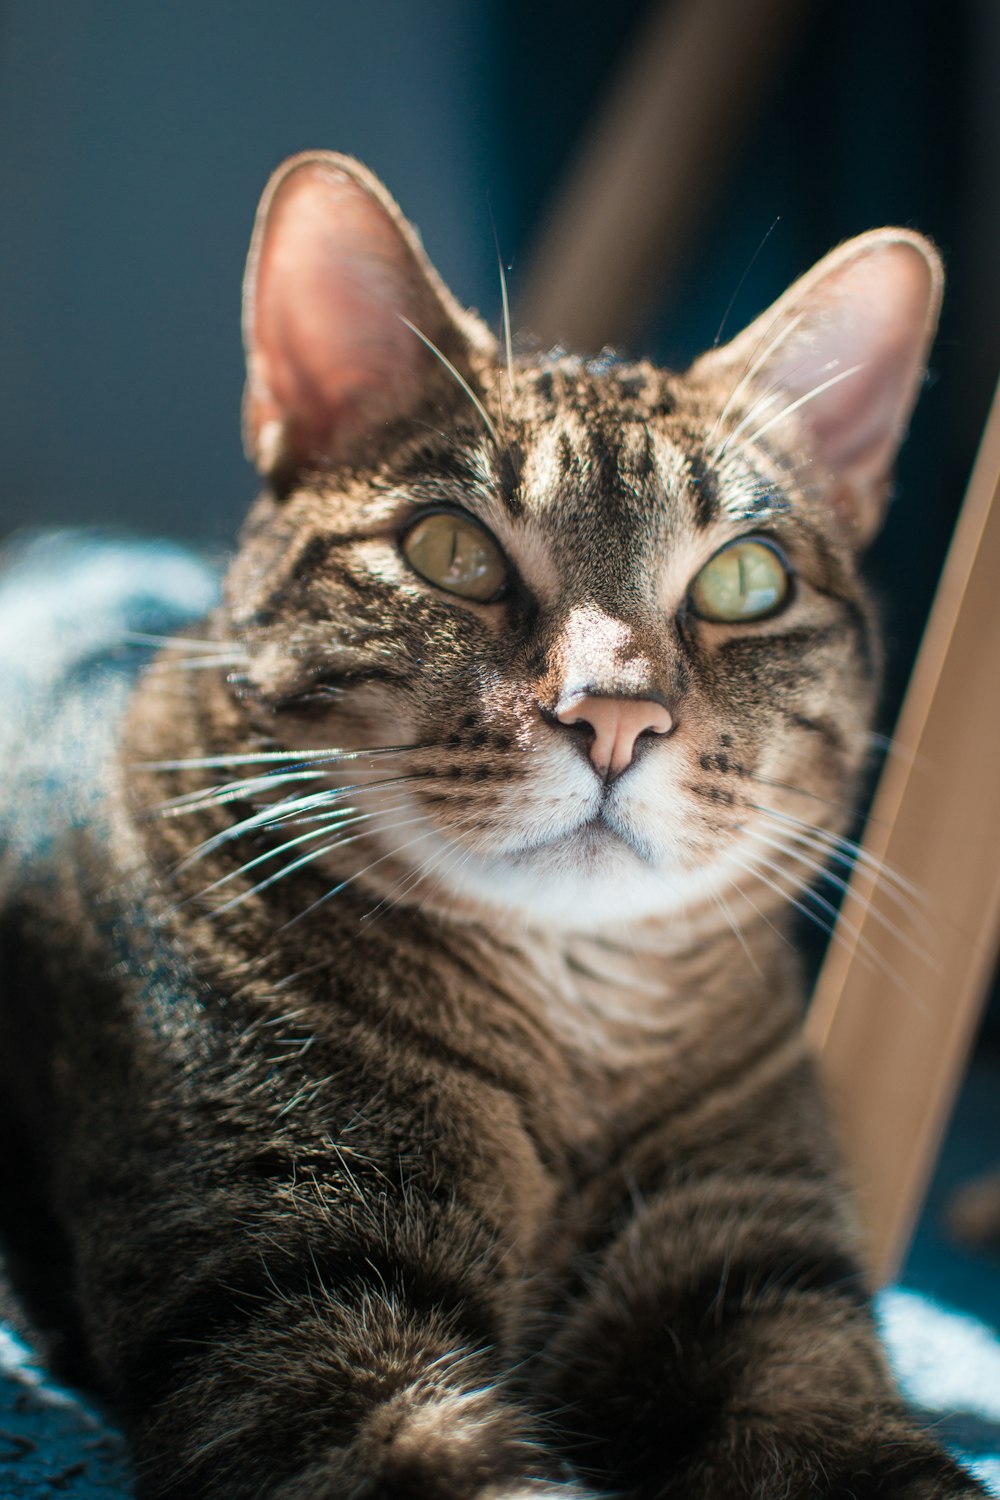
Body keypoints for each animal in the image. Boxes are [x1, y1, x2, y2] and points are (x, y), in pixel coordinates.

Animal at [0, 155, 983, 1500]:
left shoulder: (760, 1276)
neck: (573, 1052)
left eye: (747, 581)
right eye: (448, 549)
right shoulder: (302, 1302)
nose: (614, 710)